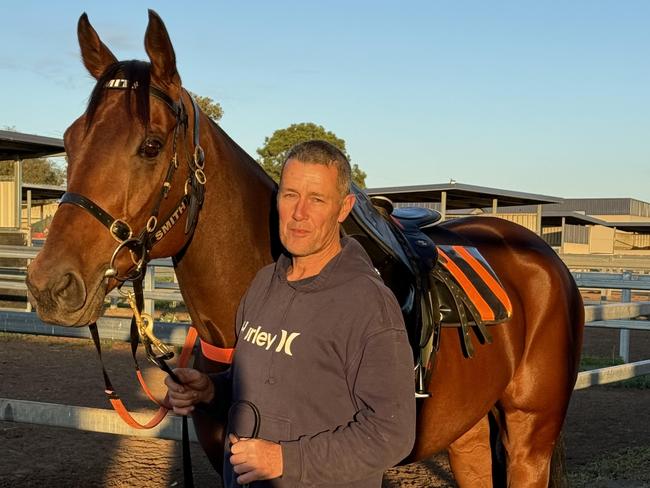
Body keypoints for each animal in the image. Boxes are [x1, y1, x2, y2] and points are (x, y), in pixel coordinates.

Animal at [25, 11, 584, 488]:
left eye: (151, 145)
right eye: (70, 139)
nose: (49, 283)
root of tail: (541, 255)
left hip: (530, 438)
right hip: (468, 433)